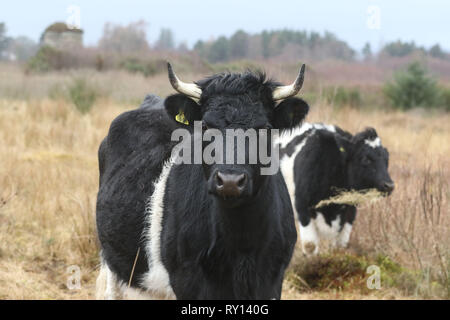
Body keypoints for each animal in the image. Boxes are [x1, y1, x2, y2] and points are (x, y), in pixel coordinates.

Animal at [278, 122, 394, 255]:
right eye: (366, 159)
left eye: (386, 159)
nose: (389, 185)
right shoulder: (302, 207)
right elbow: (310, 246)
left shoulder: (350, 211)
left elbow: (340, 244)